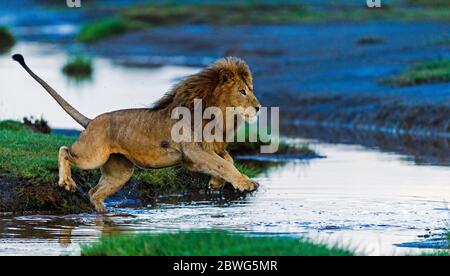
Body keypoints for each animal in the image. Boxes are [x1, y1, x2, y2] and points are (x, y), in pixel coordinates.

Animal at [12, 54, 262, 213]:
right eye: (242, 91)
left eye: (251, 90)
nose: (259, 107)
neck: (219, 115)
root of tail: (91, 121)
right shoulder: (194, 151)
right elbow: (224, 164)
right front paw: (246, 184)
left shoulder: (204, 152)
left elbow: (227, 160)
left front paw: (217, 183)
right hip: (92, 155)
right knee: (64, 150)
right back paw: (67, 183)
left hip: (120, 172)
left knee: (94, 192)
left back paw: (103, 214)